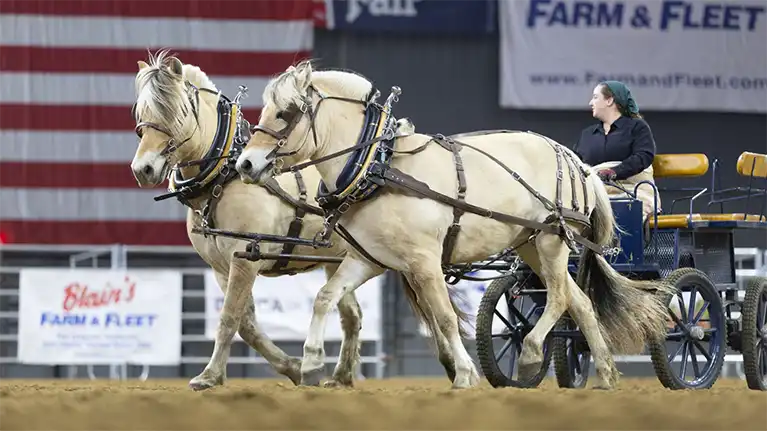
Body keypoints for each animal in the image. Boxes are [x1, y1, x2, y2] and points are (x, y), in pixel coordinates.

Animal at [129, 51, 372, 390]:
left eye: (176, 111)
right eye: (142, 112)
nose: (144, 169)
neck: (222, 176)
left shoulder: (243, 258)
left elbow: (229, 317)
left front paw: (209, 376)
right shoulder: (221, 267)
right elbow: (246, 324)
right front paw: (293, 367)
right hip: (337, 262)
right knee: (352, 315)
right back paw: (341, 376)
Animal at [233, 59, 675, 390]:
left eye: (286, 113)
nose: (245, 164)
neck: (378, 166)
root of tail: (575, 160)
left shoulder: (424, 263)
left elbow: (444, 317)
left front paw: (464, 374)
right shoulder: (368, 260)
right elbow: (325, 297)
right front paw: (309, 365)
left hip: (553, 241)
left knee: (560, 298)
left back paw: (532, 354)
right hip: (530, 243)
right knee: (579, 302)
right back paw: (605, 375)